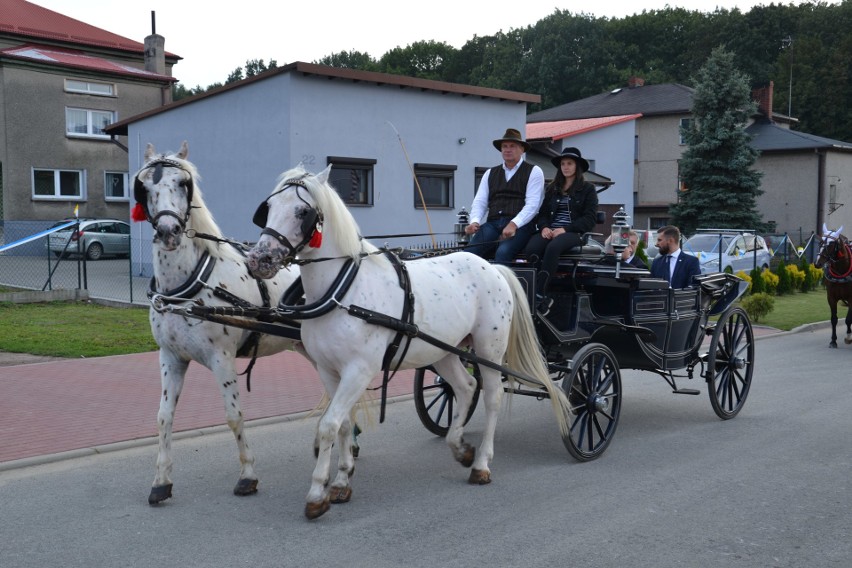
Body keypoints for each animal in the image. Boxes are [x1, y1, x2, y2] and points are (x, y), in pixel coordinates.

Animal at [243, 163, 568, 520]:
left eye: (302, 212)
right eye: (269, 208)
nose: (258, 259)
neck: (343, 290)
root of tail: (494, 267)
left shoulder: (359, 370)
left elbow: (329, 424)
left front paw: (317, 493)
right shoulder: (328, 370)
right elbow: (342, 424)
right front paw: (341, 481)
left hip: (489, 349)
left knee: (492, 397)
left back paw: (482, 463)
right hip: (444, 350)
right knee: (466, 388)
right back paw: (460, 448)